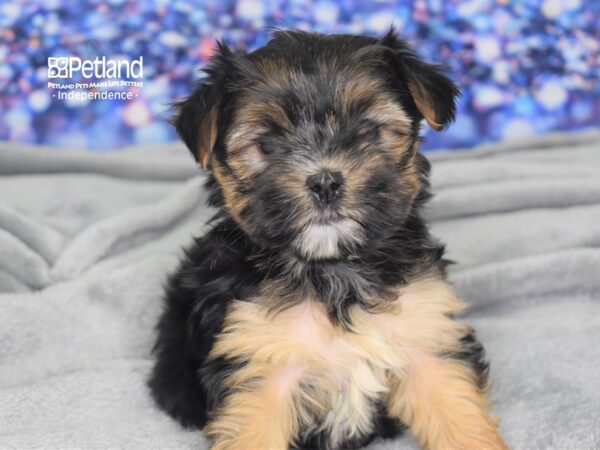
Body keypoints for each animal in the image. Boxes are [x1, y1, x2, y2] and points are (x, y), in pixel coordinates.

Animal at [149, 29, 506, 450]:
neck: (333, 270)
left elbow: (457, 412)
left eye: (368, 130)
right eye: (267, 145)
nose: (325, 182)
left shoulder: (425, 333)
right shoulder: (259, 360)